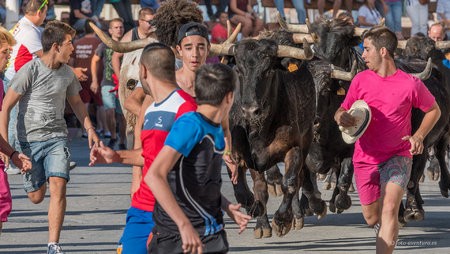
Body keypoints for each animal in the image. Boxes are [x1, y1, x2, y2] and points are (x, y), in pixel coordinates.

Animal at [227, 38, 326, 237]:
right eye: (239, 70)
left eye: (268, 71)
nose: (250, 110)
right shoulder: (241, 155)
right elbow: (252, 190)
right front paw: (260, 220)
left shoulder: (294, 148)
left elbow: (290, 183)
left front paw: (281, 220)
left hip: (307, 138)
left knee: (301, 177)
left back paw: (302, 212)